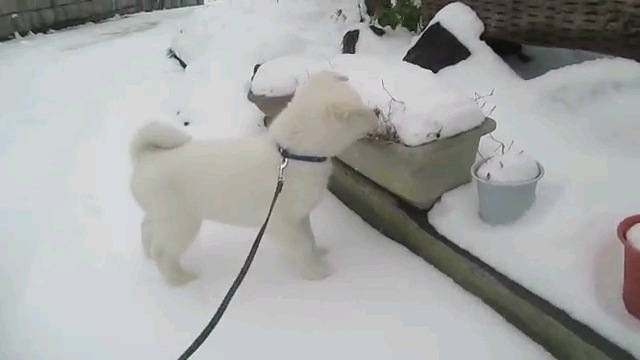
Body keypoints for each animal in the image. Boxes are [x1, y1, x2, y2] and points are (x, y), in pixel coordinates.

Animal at [130, 71, 380, 286]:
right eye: (359, 111)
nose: (378, 111)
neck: (291, 154)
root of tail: (146, 157)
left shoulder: (299, 216)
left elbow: (309, 238)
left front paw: (317, 253)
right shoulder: (283, 223)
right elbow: (301, 247)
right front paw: (317, 273)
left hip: (161, 215)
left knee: (147, 227)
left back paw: (148, 252)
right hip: (181, 223)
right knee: (165, 253)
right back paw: (180, 279)